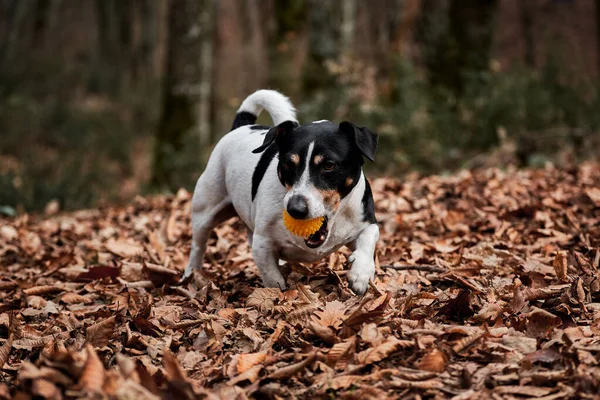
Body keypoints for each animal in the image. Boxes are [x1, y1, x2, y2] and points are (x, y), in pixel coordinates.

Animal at [184, 90, 380, 294]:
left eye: (329, 165)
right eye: (288, 163)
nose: (295, 209)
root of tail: (241, 126)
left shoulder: (365, 220)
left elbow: (369, 237)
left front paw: (360, 274)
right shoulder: (262, 243)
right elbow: (272, 278)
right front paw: (278, 294)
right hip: (205, 211)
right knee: (198, 245)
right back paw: (191, 275)